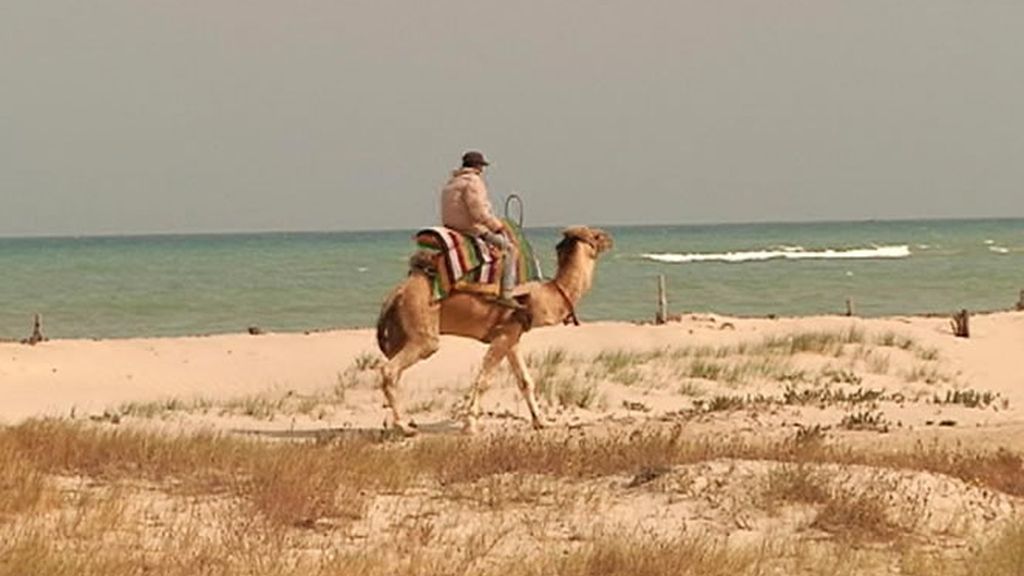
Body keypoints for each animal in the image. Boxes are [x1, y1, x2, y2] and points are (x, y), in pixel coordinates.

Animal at [375, 226, 613, 435]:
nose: (610, 239)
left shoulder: (512, 335)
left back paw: (397, 424)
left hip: (400, 330)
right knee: (391, 369)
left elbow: (525, 381)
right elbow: (483, 381)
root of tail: (397, 291)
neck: (544, 296)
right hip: (423, 327)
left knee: (394, 372)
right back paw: (403, 427)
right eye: (597, 235)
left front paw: (542, 422)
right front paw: (470, 426)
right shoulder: (504, 334)